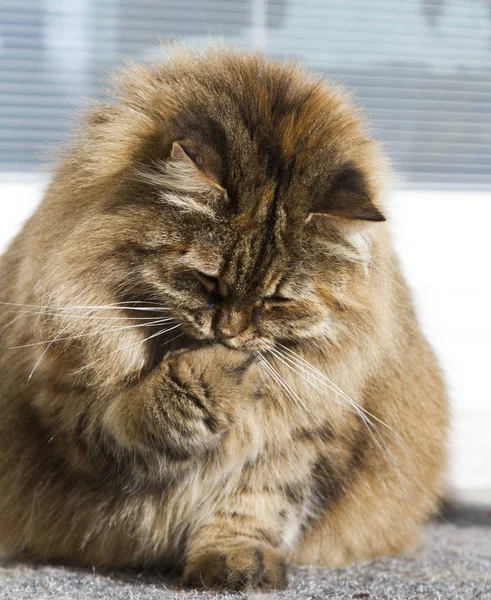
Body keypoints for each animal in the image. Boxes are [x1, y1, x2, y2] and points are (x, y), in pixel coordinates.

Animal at [0, 48, 448, 592]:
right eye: (208, 280)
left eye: (277, 300)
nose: (229, 334)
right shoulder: (69, 411)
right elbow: (144, 416)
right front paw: (210, 374)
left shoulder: (304, 435)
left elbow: (256, 503)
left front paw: (237, 565)